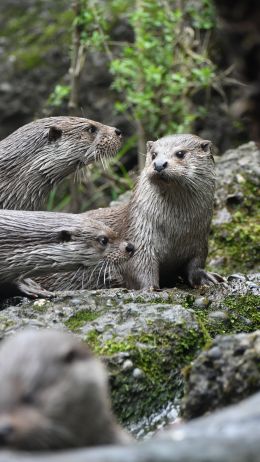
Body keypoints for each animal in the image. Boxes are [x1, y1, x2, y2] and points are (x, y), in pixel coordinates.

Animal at [40, 134, 223, 290]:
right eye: (154, 154)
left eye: (180, 153)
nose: (159, 164)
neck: (176, 230)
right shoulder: (140, 235)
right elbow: (138, 266)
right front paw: (151, 288)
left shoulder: (199, 241)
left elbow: (195, 264)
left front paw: (208, 278)